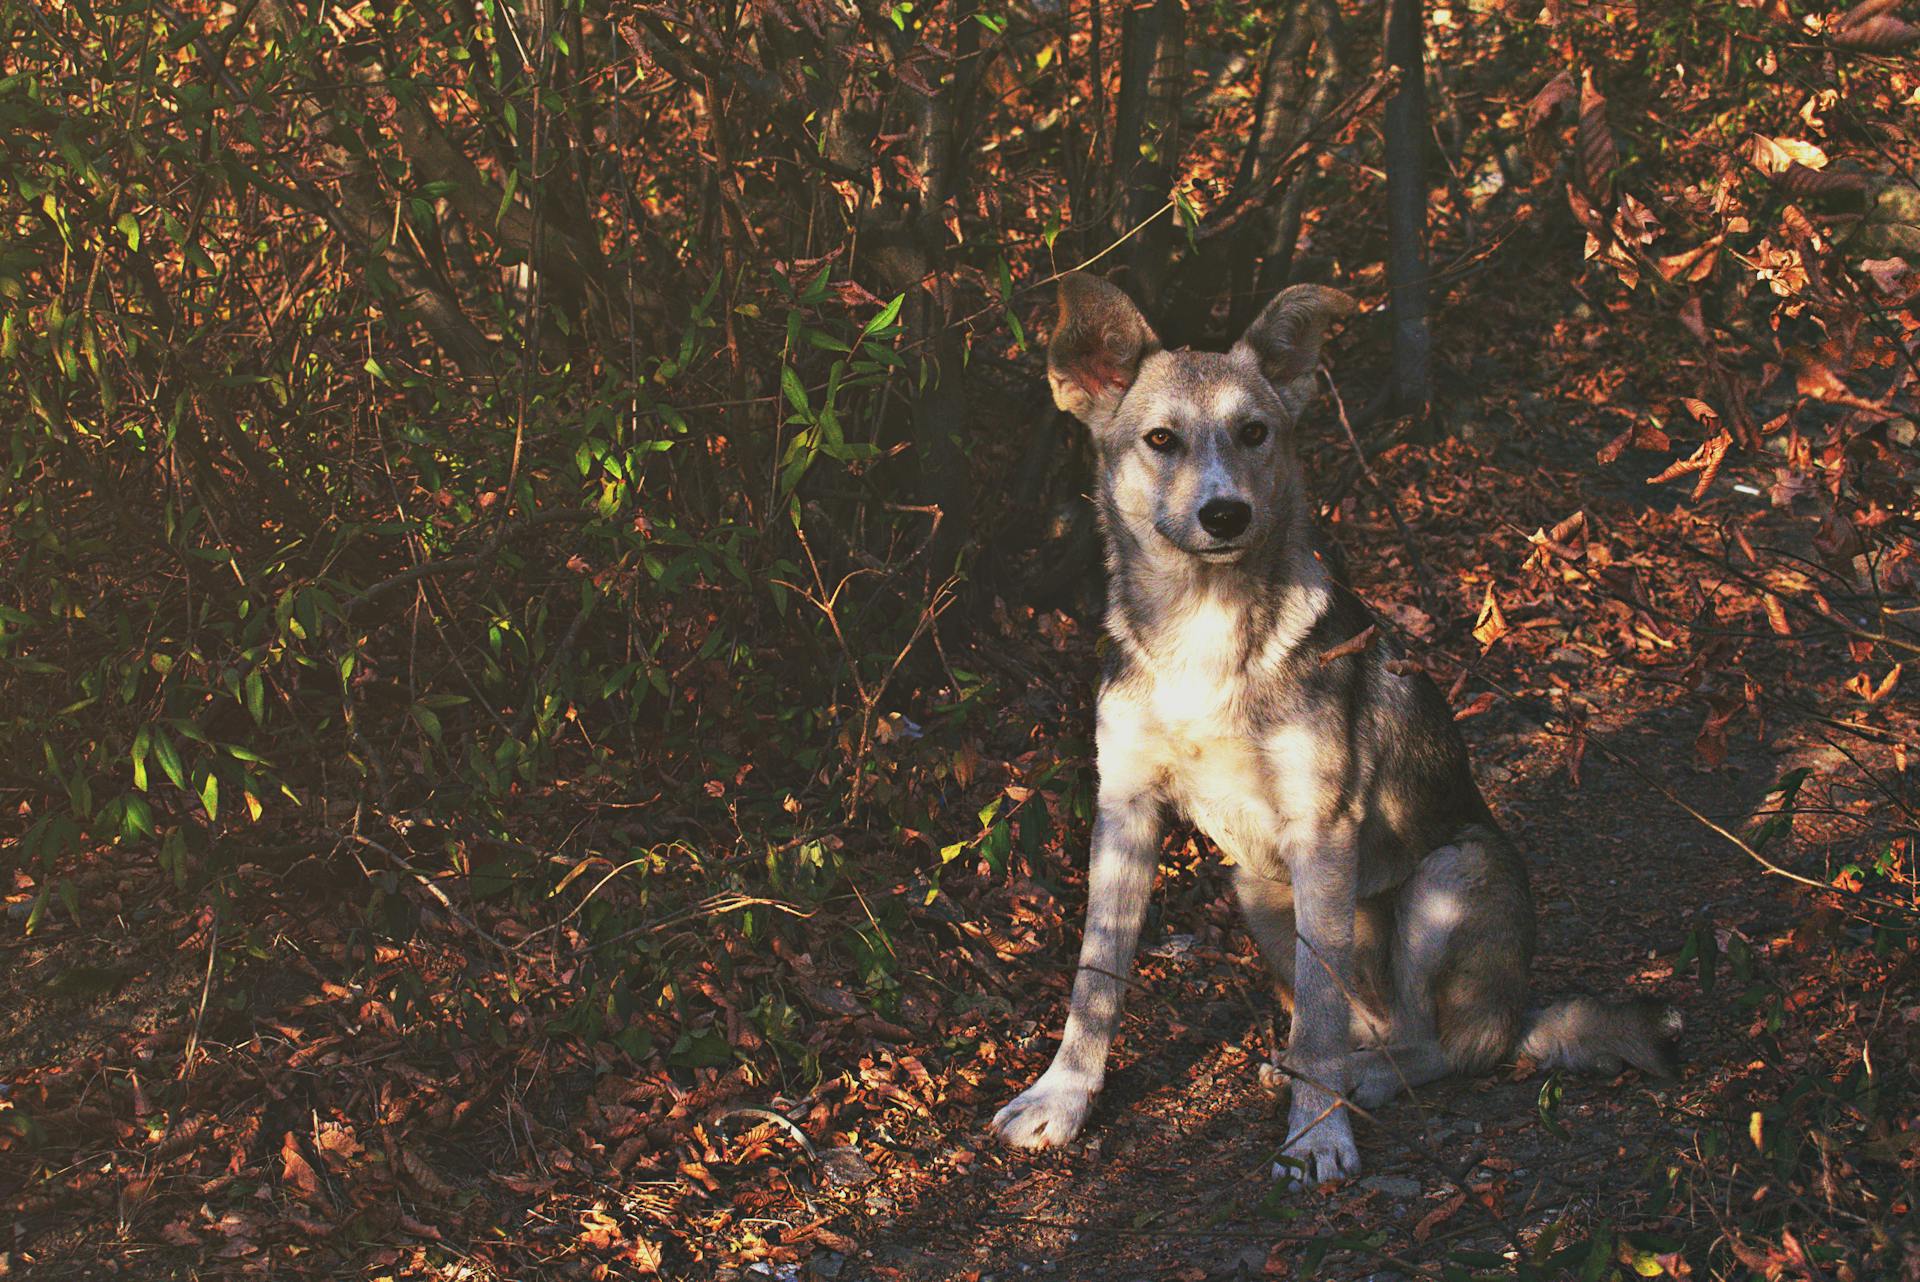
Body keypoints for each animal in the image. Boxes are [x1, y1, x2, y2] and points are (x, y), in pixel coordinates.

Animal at [990, 276, 1681, 1189]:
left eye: (1255, 432)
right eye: (1162, 441)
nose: (1226, 513)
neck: (1204, 632)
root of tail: (1517, 1011)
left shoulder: (1321, 830)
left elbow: (1315, 1018)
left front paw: (1317, 1137)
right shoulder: (1125, 810)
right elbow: (1095, 980)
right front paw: (1064, 1101)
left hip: (1450, 875)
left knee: (1439, 1048)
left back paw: (1363, 1082)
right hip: (1255, 889)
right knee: (1365, 1025)